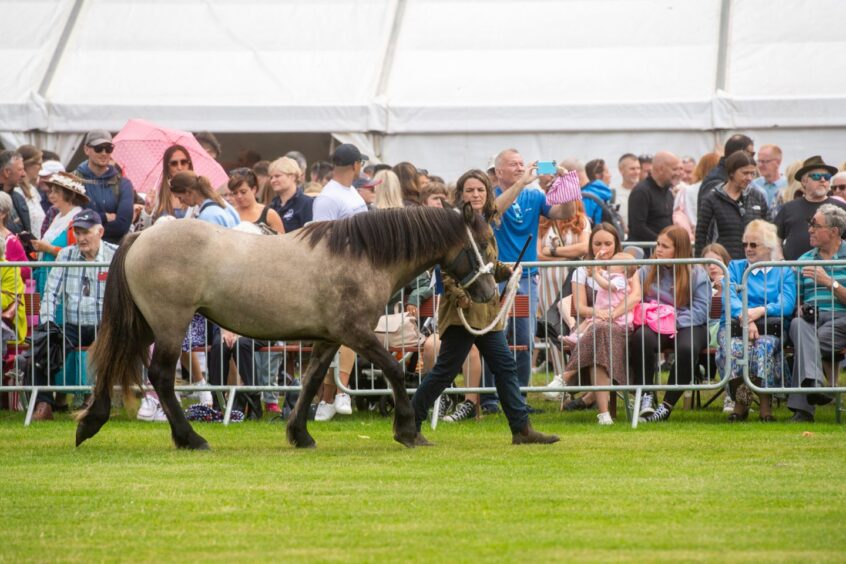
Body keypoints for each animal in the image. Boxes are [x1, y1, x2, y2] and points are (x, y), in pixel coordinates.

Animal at [76, 205, 500, 452]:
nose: (490, 292)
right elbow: (395, 371)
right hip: (169, 323)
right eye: (482, 243)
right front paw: (409, 431)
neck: (361, 256)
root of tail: (141, 235)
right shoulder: (357, 335)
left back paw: (92, 423)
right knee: (161, 376)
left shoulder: (329, 339)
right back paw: (190, 439)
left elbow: (311, 381)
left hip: (145, 324)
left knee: (115, 363)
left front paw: (300, 434)